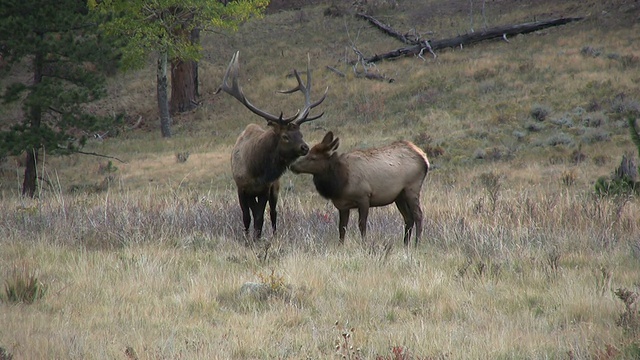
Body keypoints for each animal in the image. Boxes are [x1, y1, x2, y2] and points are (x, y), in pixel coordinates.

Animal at [219, 50, 328, 240]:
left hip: (275, 188)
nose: (305, 147)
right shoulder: (241, 187)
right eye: (285, 136)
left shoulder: (265, 188)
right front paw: (247, 239)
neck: (255, 169)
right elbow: (247, 217)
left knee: (273, 213)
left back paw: (275, 234)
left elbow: (260, 217)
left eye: (300, 134)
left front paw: (257, 238)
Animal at [292, 132, 430, 248]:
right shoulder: (342, 205)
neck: (340, 182)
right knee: (408, 218)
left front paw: (364, 244)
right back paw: (405, 244)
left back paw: (417, 244)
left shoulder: (363, 197)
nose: (292, 165)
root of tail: (425, 158)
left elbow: (362, 224)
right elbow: (342, 227)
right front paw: (340, 246)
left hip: (412, 188)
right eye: (308, 153)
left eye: (313, 157)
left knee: (418, 215)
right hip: (399, 196)